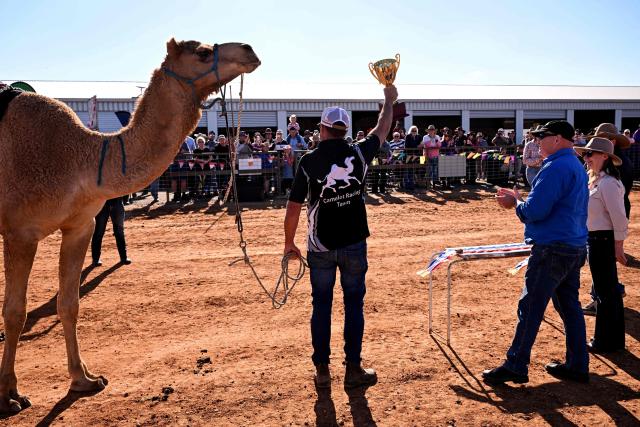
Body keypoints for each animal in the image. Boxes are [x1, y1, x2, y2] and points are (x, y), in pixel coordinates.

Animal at [0, 38, 260, 413]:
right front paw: (9, 394)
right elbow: (15, 312)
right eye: (202, 52)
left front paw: (84, 379)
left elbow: (69, 304)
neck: (81, 158)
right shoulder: (20, 231)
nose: (250, 50)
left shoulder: (79, 226)